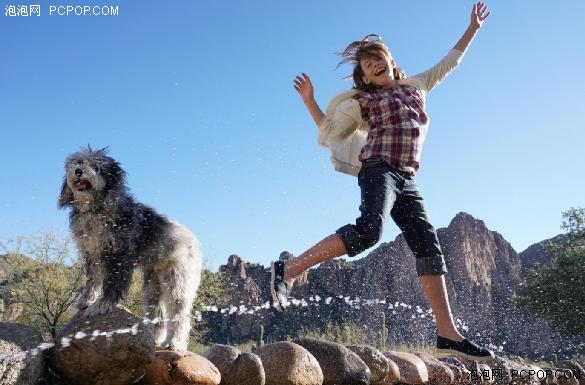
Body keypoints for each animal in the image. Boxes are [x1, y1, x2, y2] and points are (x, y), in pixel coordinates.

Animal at [57, 146, 202, 350]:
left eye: (96, 167)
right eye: (78, 161)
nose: (78, 171)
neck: (97, 209)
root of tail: (193, 240)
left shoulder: (119, 256)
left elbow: (112, 284)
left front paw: (102, 305)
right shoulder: (93, 254)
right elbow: (94, 280)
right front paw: (86, 299)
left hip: (177, 280)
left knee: (180, 314)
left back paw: (174, 343)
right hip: (153, 285)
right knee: (157, 313)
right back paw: (156, 340)